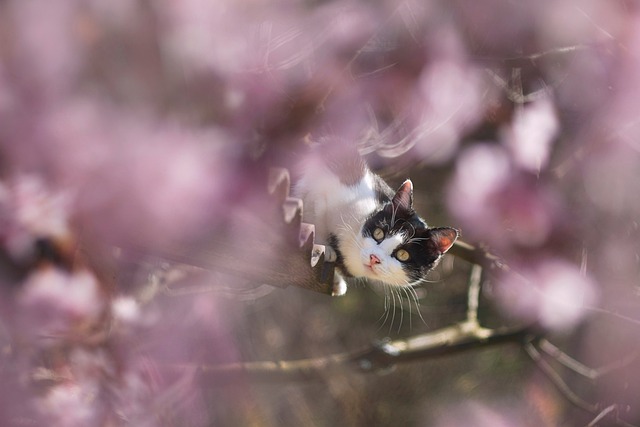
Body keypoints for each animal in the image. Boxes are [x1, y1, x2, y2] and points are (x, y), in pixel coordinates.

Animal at [296, 140, 460, 298]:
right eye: (379, 233)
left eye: (403, 255)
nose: (374, 258)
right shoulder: (324, 184)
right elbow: (314, 212)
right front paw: (322, 246)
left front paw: (336, 281)